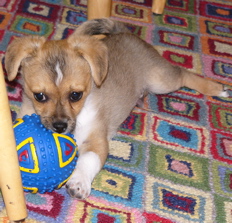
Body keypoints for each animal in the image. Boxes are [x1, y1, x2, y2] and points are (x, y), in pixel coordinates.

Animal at [4, 17, 228, 199]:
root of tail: (125, 33)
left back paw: (217, 89)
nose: (60, 127)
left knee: (183, 73)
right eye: (39, 96)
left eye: (76, 95)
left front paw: (79, 182)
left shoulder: (97, 141)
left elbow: (88, 160)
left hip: (161, 81)